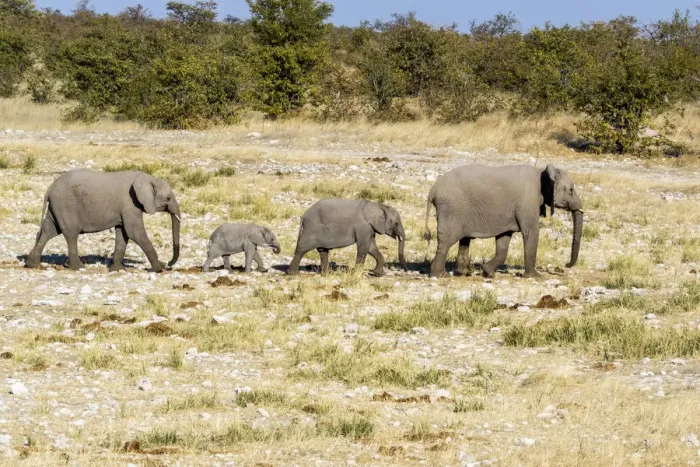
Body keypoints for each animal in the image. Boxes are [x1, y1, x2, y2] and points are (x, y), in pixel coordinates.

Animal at [25, 169, 181, 272]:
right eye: (167, 198)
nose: (168, 263)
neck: (148, 178)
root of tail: (50, 188)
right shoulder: (130, 203)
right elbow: (134, 232)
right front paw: (158, 268)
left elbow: (123, 234)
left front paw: (117, 269)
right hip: (66, 205)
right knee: (71, 234)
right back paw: (78, 267)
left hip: (57, 206)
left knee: (48, 231)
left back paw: (33, 265)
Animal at [424, 164, 583, 278]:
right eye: (570, 190)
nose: (566, 265)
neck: (543, 171)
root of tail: (432, 191)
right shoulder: (527, 202)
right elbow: (531, 232)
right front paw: (535, 277)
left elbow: (504, 239)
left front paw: (487, 272)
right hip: (451, 209)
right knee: (447, 241)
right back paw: (441, 275)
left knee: (463, 240)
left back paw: (464, 273)